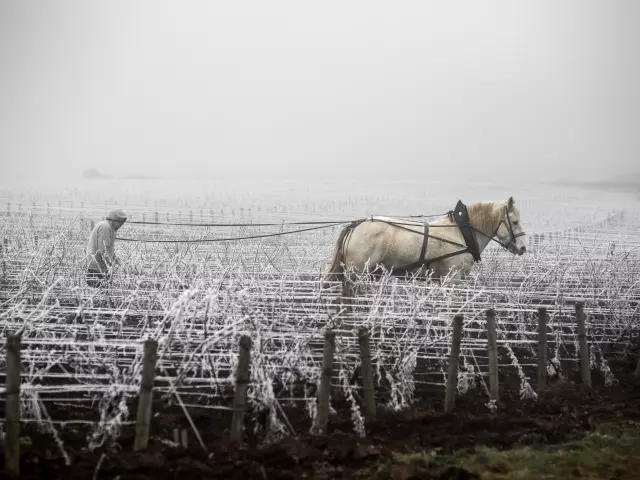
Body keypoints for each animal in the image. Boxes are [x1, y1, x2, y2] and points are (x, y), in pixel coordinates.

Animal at [322, 197, 528, 290]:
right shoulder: (452, 278)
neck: (460, 233)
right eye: (515, 222)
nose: (523, 248)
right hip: (358, 274)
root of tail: (355, 226)